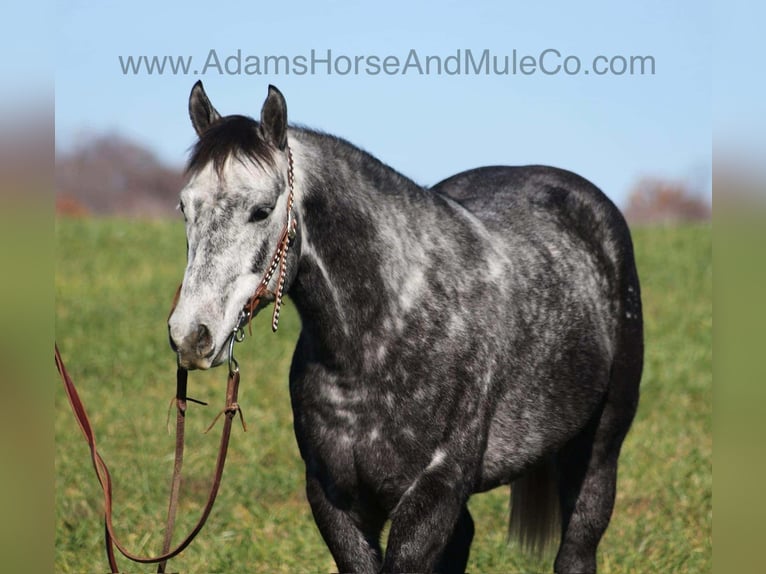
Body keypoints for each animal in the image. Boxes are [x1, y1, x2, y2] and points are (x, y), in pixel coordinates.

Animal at [167, 81, 643, 574]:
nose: (191, 335)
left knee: (578, 544)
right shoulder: (335, 498)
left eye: (261, 211)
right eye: (184, 207)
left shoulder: (432, 494)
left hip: (598, 451)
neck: (379, 341)